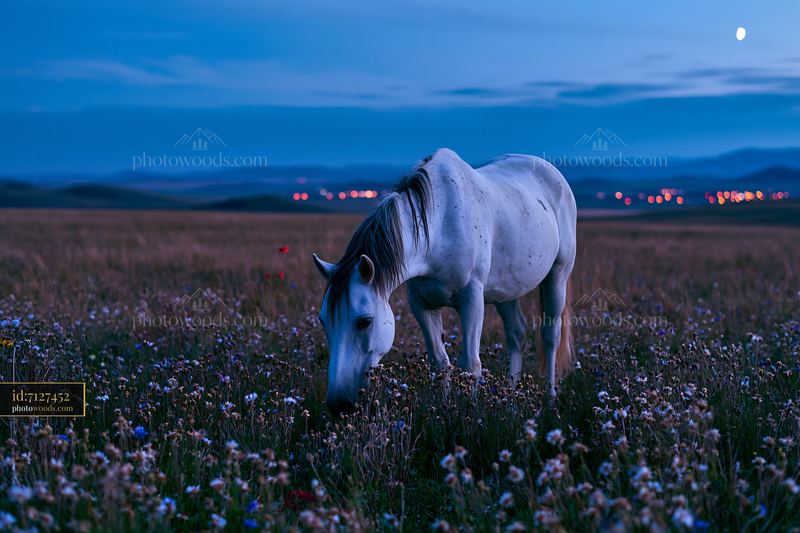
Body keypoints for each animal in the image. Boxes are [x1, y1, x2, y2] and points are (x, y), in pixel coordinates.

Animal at [313, 148, 577, 414]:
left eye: (365, 322)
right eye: (323, 321)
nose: (338, 404)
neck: (440, 227)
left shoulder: (472, 300)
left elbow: (471, 365)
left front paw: (470, 413)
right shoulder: (422, 305)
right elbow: (440, 363)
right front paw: (443, 409)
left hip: (557, 276)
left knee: (550, 335)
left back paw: (550, 397)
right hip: (506, 290)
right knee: (517, 333)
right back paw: (511, 395)